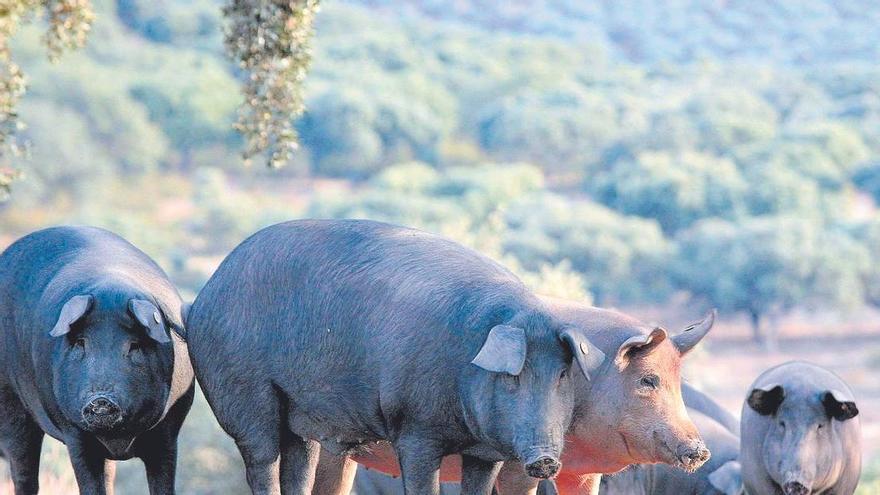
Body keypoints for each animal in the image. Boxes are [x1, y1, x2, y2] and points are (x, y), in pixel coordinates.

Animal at [0, 228, 194, 495]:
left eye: (134, 345)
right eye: (81, 343)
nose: (101, 399)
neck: (119, 439)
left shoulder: (168, 430)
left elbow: (162, 481)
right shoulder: (75, 433)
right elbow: (89, 481)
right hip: (10, 401)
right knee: (22, 466)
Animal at [189, 221, 608, 495]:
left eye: (561, 375)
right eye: (512, 376)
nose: (546, 460)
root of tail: (205, 294)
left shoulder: (483, 453)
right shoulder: (414, 429)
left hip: (297, 413)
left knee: (299, 462)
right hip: (239, 387)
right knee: (261, 457)